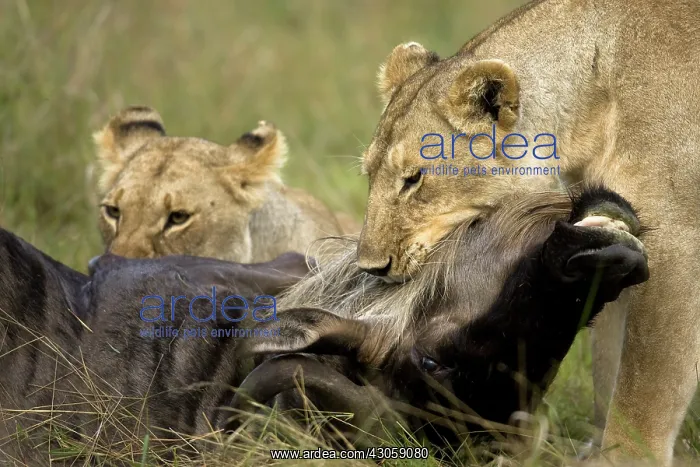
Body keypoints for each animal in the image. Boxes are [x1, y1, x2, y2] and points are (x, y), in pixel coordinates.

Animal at [354, 0, 700, 464]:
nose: (370, 267)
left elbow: (645, 380)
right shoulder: (616, 227)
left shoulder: (679, 237)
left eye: (414, 179)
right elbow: (608, 363)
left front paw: (625, 457)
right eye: (369, 173)